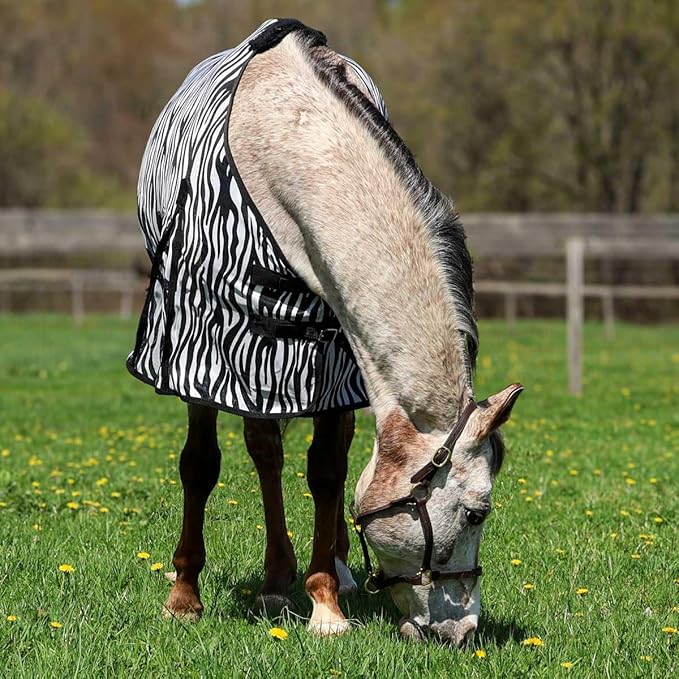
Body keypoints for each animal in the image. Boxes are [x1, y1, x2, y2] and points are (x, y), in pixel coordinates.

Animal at [128, 19, 522, 646]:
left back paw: (322, 569)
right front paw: (184, 596)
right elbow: (201, 463)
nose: (461, 632)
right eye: (477, 512)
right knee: (262, 451)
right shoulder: (200, 348)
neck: (281, 147)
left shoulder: (337, 353)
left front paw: (326, 602)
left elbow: (329, 470)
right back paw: (271, 579)